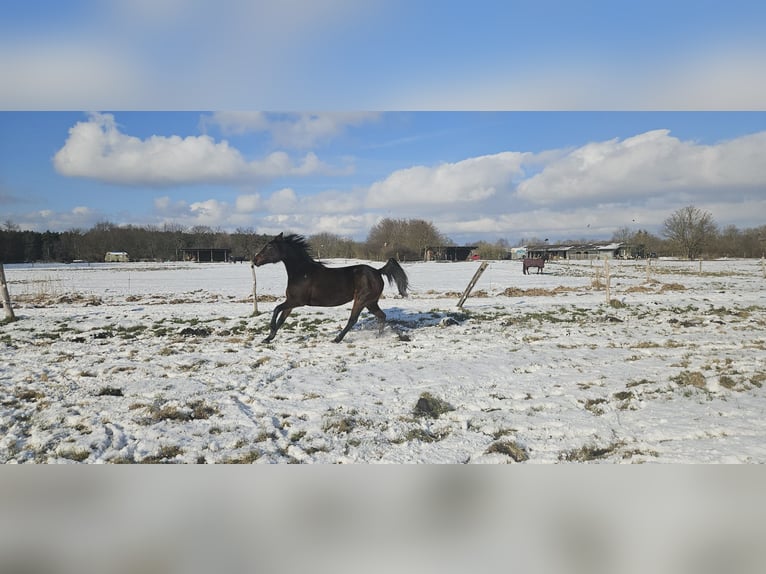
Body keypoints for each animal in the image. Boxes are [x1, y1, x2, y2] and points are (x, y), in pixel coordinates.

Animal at [253, 233, 409, 343]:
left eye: (270, 247)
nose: (255, 260)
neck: (302, 272)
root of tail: (378, 271)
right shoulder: (291, 302)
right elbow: (281, 319)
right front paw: (268, 338)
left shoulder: (297, 301)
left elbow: (276, 309)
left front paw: (270, 329)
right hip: (371, 302)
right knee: (381, 316)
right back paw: (378, 336)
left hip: (361, 300)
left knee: (353, 319)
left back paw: (337, 339)